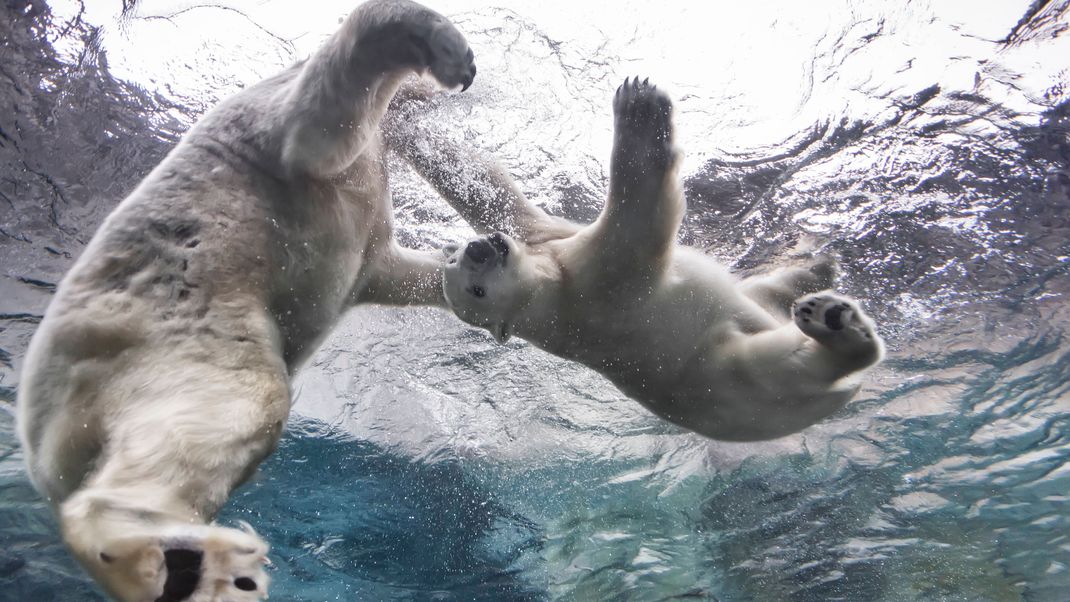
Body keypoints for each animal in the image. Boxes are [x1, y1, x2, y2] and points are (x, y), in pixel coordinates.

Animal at [14, 2, 475, 598]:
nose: (455, 96)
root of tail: (39, 433)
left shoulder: (370, 249)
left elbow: (390, 271)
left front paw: (475, 262)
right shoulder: (271, 128)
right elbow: (321, 120)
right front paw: (447, 51)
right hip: (172, 320)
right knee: (237, 403)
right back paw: (190, 566)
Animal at [389, 76, 881, 442]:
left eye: (459, 259)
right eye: (475, 291)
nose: (477, 249)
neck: (544, 296)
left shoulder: (546, 239)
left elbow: (491, 192)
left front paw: (402, 115)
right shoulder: (597, 285)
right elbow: (637, 221)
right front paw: (640, 109)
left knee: (763, 294)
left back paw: (813, 270)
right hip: (733, 381)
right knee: (783, 361)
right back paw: (834, 324)